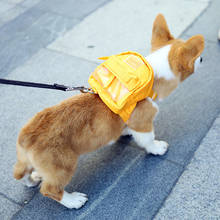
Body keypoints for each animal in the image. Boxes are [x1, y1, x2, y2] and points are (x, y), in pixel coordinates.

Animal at [12, 14, 204, 210]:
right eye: (197, 57)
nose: (203, 59)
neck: (152, 80)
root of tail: (26, 137)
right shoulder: (143, 124)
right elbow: (148, 140)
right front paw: (157, 148)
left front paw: (125, 132)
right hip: (63, 165)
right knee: (50, 189)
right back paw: (73, 200)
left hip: (28, 161)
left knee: (19, 174)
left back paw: (33, 179)